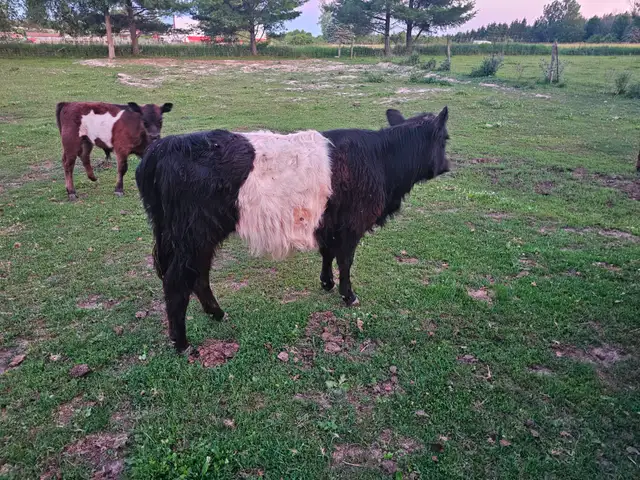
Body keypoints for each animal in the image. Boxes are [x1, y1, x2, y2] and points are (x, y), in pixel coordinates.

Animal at [136, 107, 451, 352]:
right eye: (445, 139)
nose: (447, 166)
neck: (380, 160)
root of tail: (162, 149)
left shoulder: (329, 222)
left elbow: (328, 253)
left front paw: (327, 283)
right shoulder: (351, 224)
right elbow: (345, 261)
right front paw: (348, 295)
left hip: (194, 237)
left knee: (198, 275)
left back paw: (217, 314)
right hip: (192, 234)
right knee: (178, 281)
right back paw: (182, 343)